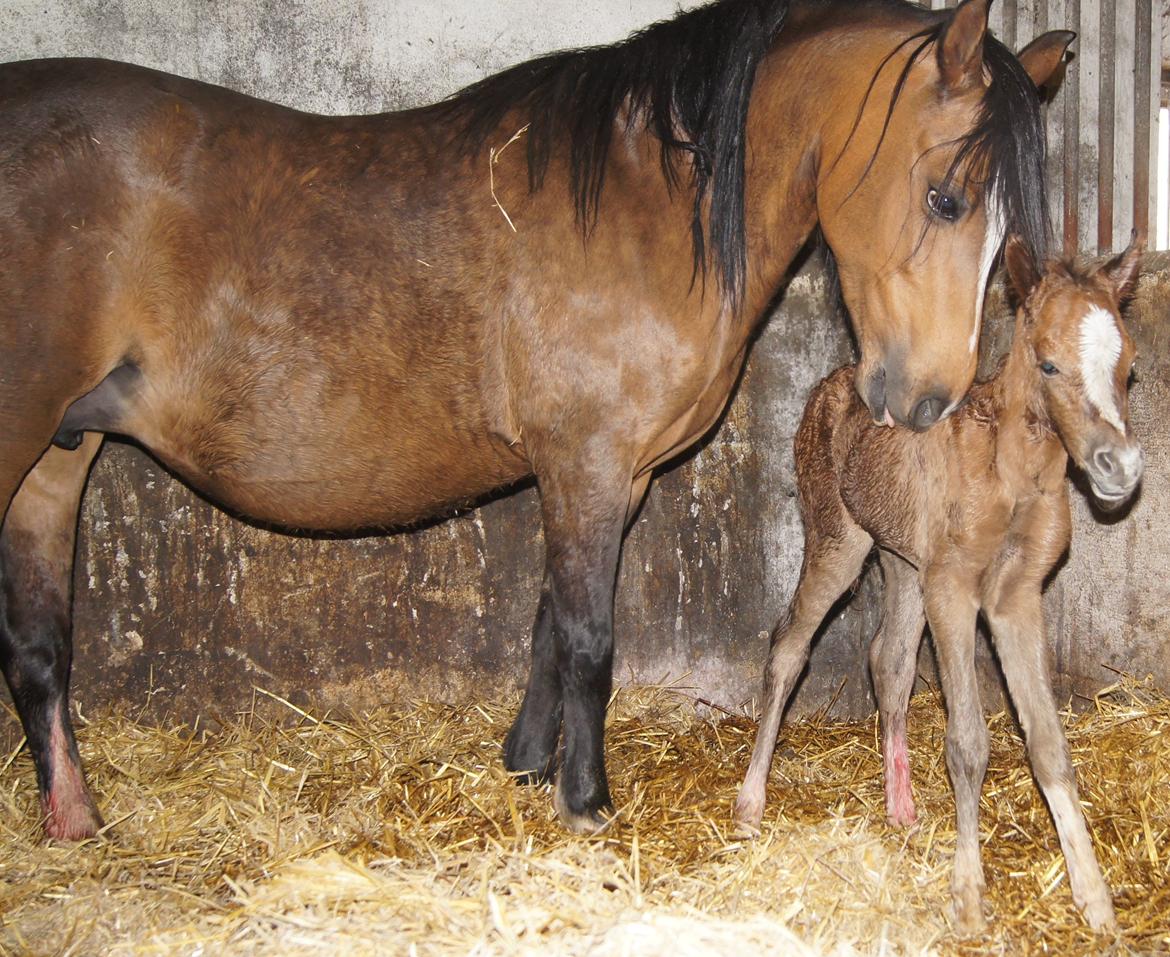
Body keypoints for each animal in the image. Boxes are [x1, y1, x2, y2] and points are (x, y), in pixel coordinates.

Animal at [0, 0, 1071, 832]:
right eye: (946, 198)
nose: (926, 400)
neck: (645, 207)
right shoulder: (585, 461)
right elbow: (590, 635)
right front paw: (586, 799)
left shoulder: (614, 474)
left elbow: (550, 621)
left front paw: (525, 762)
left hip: (58, 458)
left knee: (39, 649)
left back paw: (77, 823)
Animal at [734, 232, 1146, 931]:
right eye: (1048, 364)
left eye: (1129, 362)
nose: (1118, 467)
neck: (1013, 473)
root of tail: (827, 385)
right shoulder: (954, 590)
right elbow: (968, 743)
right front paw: (968, 896)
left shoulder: (1015, 597)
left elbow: (1047, 742)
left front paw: (1094, 899)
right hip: (840, 543)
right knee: (788, 647)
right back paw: (750, 803)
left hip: (902, 561)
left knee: (889, 660)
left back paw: (899, 807)